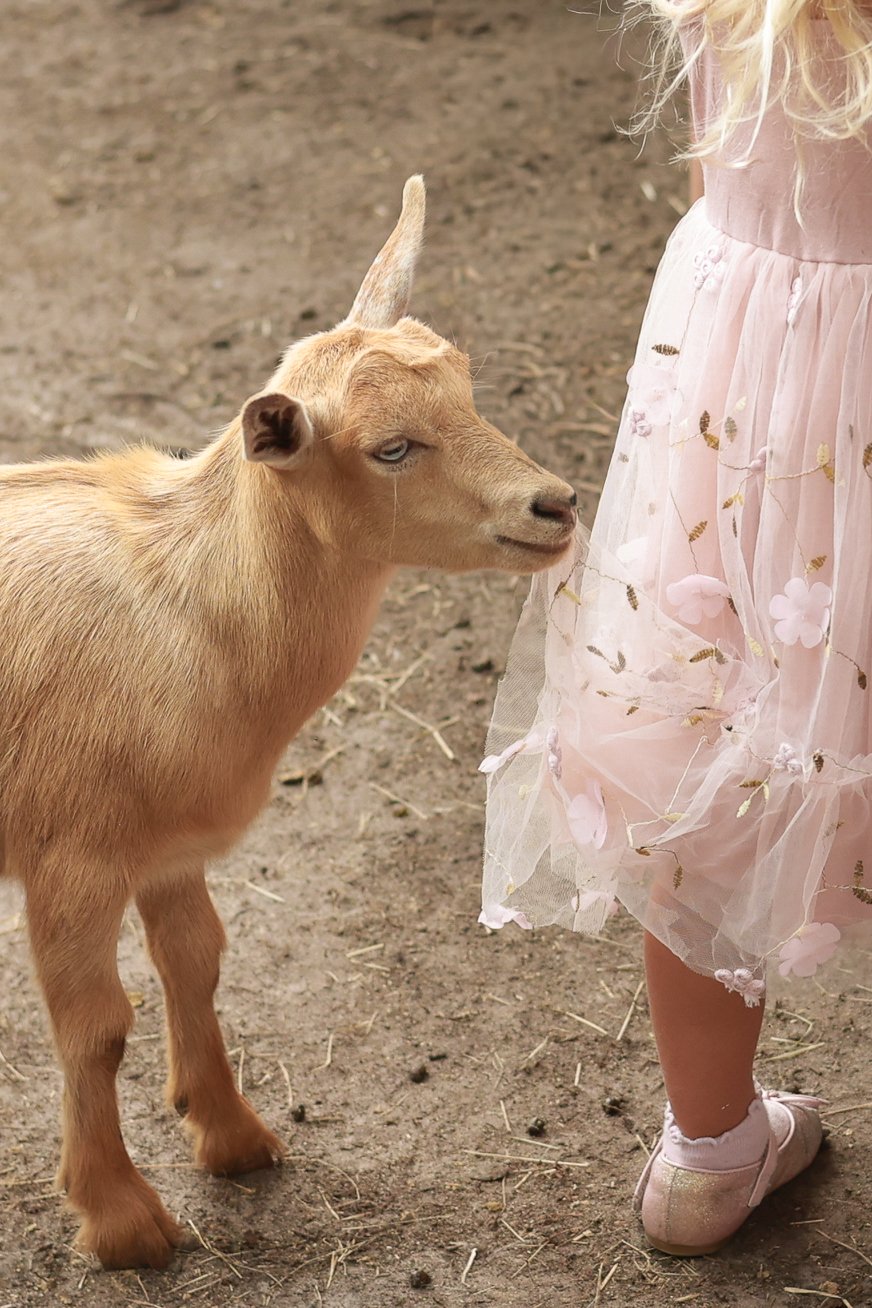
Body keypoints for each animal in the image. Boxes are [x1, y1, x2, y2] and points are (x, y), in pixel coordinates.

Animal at [1, 176, 576, 1269]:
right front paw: (122, 1218)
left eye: (469, 391)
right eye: (390, 448)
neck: (190, 601)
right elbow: (95, 1027)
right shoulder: (71, 854)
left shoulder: (171, 845)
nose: (555, 505)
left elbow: (198, 961)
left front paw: (230, 1134)